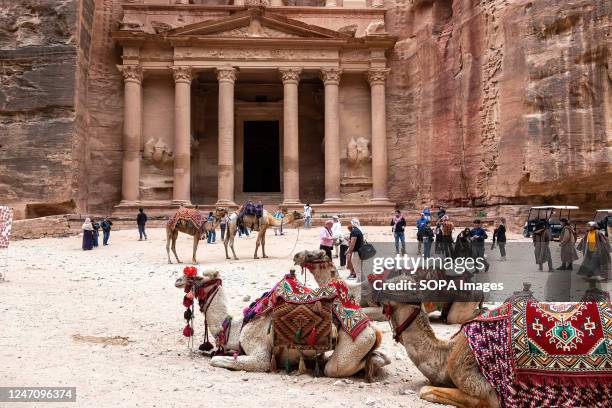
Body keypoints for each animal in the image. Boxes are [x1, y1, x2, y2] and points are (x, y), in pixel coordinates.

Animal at [175, 270, 390, 380]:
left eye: (197, 277)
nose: (177, 280)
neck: (236, 327)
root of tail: (372, 329)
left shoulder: (259, 352)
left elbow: (217, 360)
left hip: (355, 342)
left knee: (335, 367)